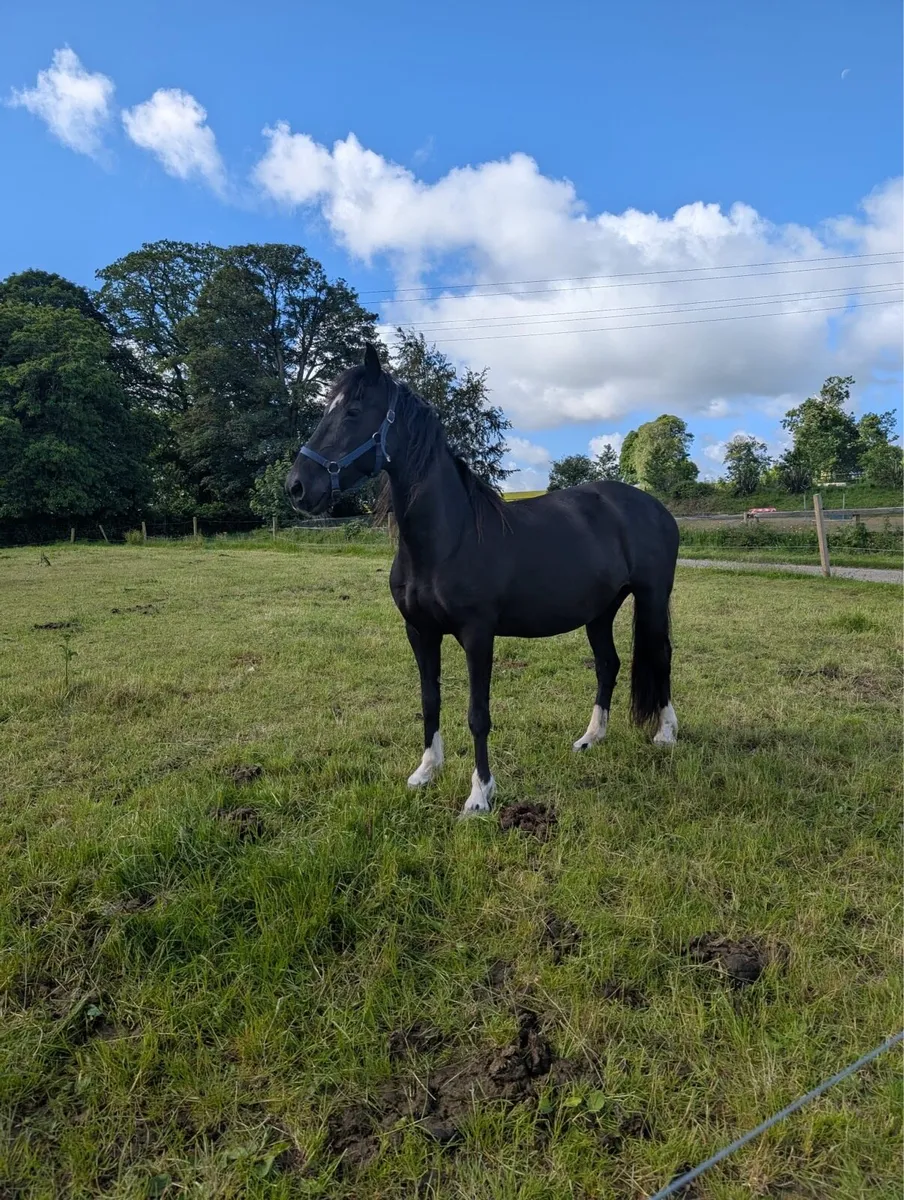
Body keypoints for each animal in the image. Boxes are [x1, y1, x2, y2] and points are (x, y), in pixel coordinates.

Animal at [286, 344, 680, 819]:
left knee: (661, 655)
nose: (297, 487)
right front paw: (425, 772)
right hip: (600, 611)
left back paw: (666, 733)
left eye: (353, 412)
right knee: (608, 664)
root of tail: (653, 507)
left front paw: (480, 795)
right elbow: (430, 701)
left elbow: (478, 715)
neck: (447, 539)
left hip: (652, 598)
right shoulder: (419, 632)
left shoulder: (478, 636)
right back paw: (591, 738)